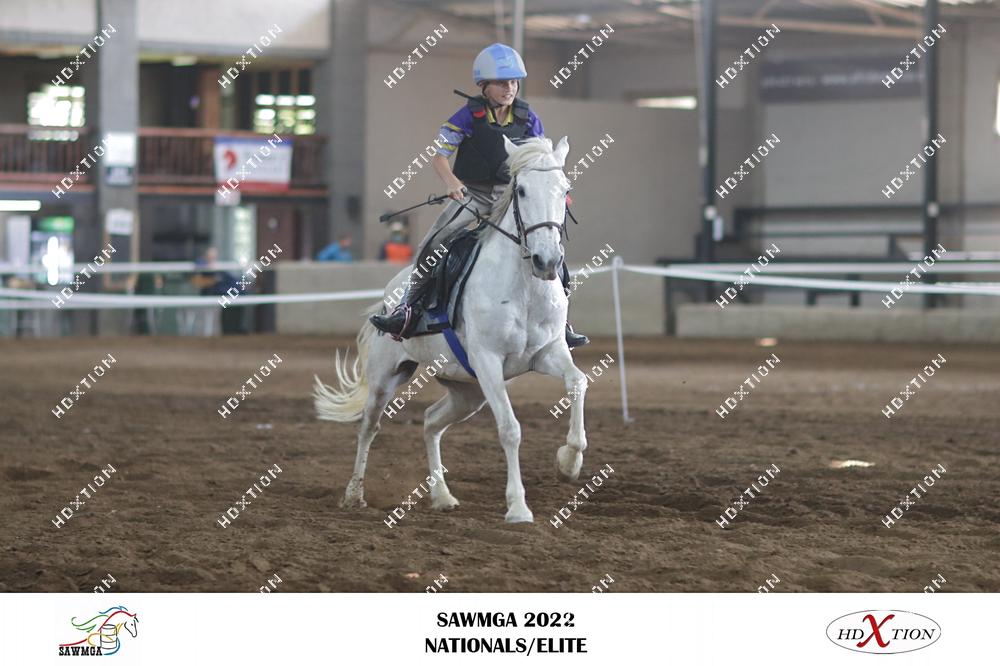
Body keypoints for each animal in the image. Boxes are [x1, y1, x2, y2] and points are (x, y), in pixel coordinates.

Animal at [314, 135, 590, 523]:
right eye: (520, 190)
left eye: (565, 190)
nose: (547, 260)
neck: (524, 287)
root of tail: (387, 297)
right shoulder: (488, 361)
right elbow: (510, 429)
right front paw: (518, 507)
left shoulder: (548, 353)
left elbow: (577, 382)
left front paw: (568, 463)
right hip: (387, 377)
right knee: (369, 426)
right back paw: (355, 494)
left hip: (467, 392)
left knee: (431, 422)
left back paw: (442, 496)